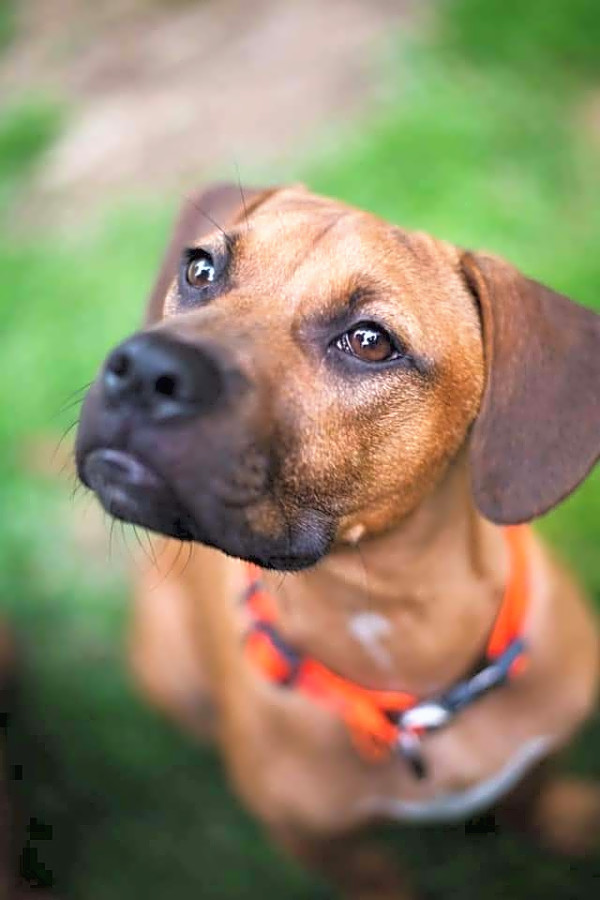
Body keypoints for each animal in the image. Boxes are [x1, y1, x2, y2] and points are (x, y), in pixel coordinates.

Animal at [75, 186, 600, 896]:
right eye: (201, 271)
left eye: (371, 342)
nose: (144, 370)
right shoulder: (321, 845)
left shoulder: (542, 748)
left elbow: (532, 797)